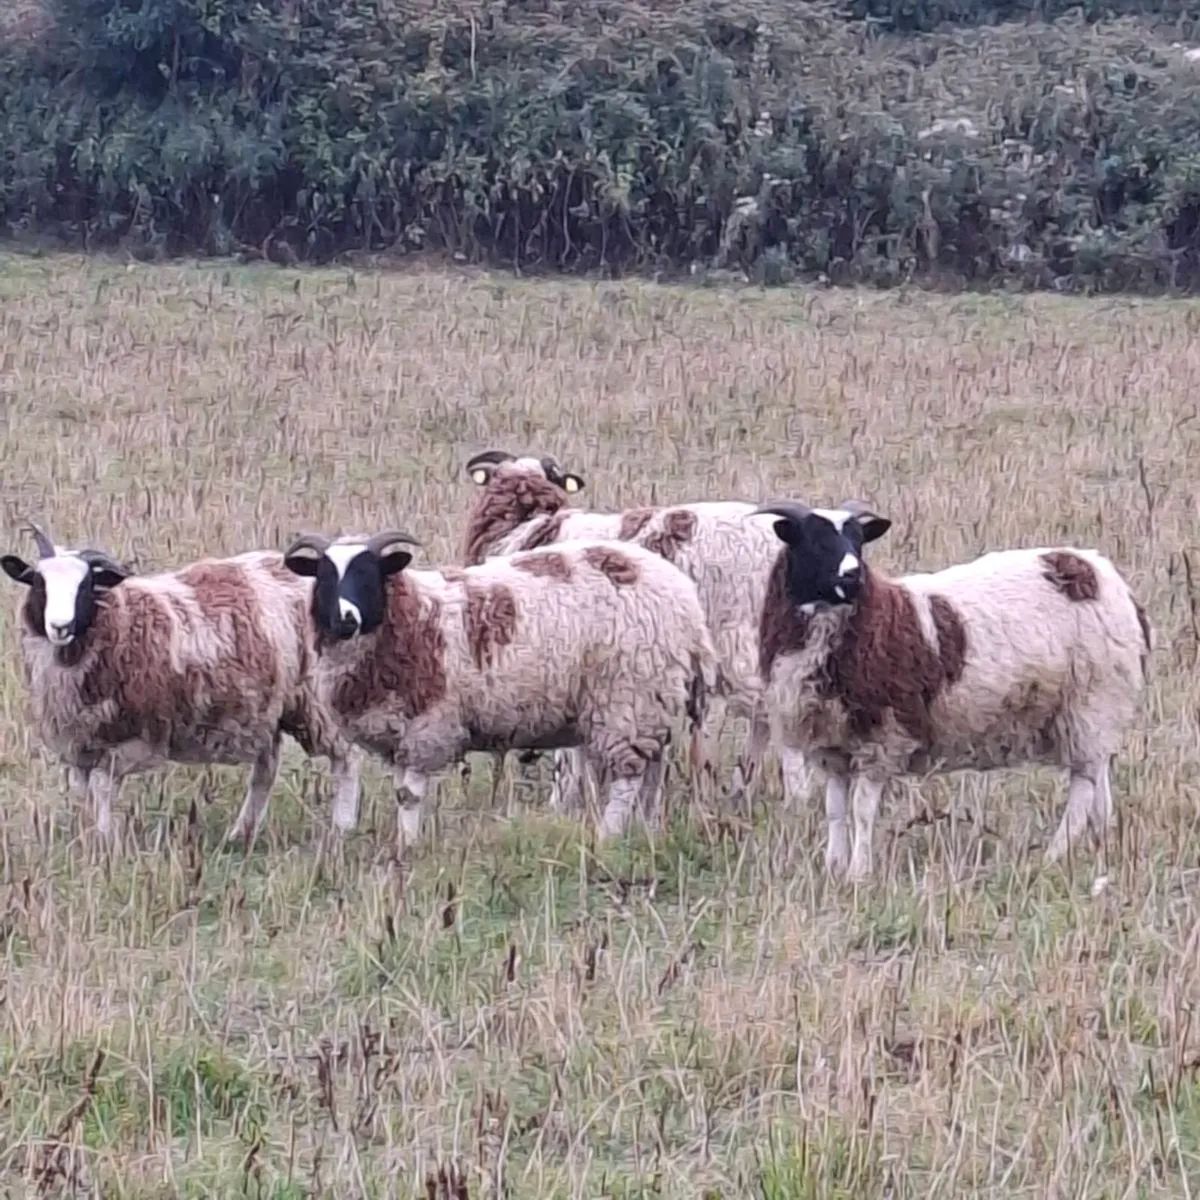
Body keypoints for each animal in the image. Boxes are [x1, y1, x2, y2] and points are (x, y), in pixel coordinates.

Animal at [1, 522, 360, 841]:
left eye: (86, 585)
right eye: (39, 582)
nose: (59, 626)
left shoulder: (137, 739)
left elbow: (102, 787)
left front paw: (104, 841)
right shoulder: (79, 744)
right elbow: (83, 794)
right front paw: (88, 837)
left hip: (316, 702)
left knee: (346, 759)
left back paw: (341, 830)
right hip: (267, 711)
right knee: (265, 770)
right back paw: (240, 835)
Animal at [280, 528, 721, 847]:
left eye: (368, 573)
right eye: (325, 577)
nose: (345, 619)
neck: (416, 614)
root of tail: (686, 601)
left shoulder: (428, 727)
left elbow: (409, 795)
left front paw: (406, 847)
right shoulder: (402, 733)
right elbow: (402, 791)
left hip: (627, 698)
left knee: (629, 777)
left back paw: (609, 837)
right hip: (653, 700)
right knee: (653, 771)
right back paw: (647, 830)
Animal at [462, 448, 811, 816]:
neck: (527, 527)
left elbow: (568, 754)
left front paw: (561, 802)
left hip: (735, 645)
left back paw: (787, 799)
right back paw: (742, 790)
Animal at [753, 499, 1152, 882]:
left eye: (858, 541)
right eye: (815, 540)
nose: (854, 576)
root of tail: (1097, 570)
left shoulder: (882, 739)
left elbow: (862, 811)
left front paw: (858, 874)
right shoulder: (832, 746)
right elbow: (835, 812)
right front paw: (833, 868)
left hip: (1091, 703)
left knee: (1082, 788)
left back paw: (1053, 855)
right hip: (1093, 714)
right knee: (1098, 781)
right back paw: (1100, 842)